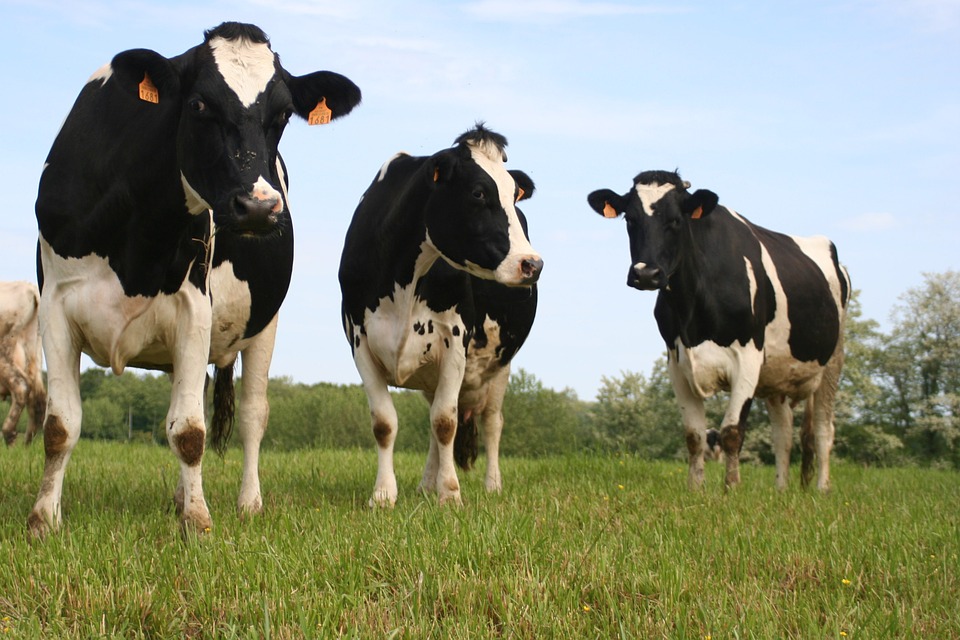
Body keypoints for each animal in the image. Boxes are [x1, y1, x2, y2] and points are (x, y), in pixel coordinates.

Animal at [0, 281, 46, 446]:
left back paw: (9, 435)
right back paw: (27, 444)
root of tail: (28, 287)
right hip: (34, 348)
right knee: (37, 396)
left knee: (21, 386)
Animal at [30, 22, 361, 536]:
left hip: (265, 324)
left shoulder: (193, 307)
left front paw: (198, 522)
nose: (260, 206)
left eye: (284, 113)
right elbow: (60, 426)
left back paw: (248, 502)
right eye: (199, 104)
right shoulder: (55, 307)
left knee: (252, 415)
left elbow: (189, 431)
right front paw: (44, 519)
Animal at [339, 124, 542, 507]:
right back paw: (425, 485)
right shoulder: (360, 340)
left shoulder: (455, 342)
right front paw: (384, 495)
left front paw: (450, 495)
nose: (532, 264)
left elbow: (446, 422)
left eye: (514, 194)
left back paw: (491, 485)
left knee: (491, 423)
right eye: (478, 192)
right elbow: (385, 423)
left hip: (500, 366)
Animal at [588, 170, 849, 492]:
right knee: (783, 433)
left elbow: (731, 432)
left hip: (833, 361)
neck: (693, 313)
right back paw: (780, 490)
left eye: (677, 220)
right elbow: (694, 435)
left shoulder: (748, 358)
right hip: (778, 376)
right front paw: (694, 488)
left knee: (823, 429)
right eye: (630, 219)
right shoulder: (677, 362)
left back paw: (822, 489)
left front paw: (731, 489)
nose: (646, 274)